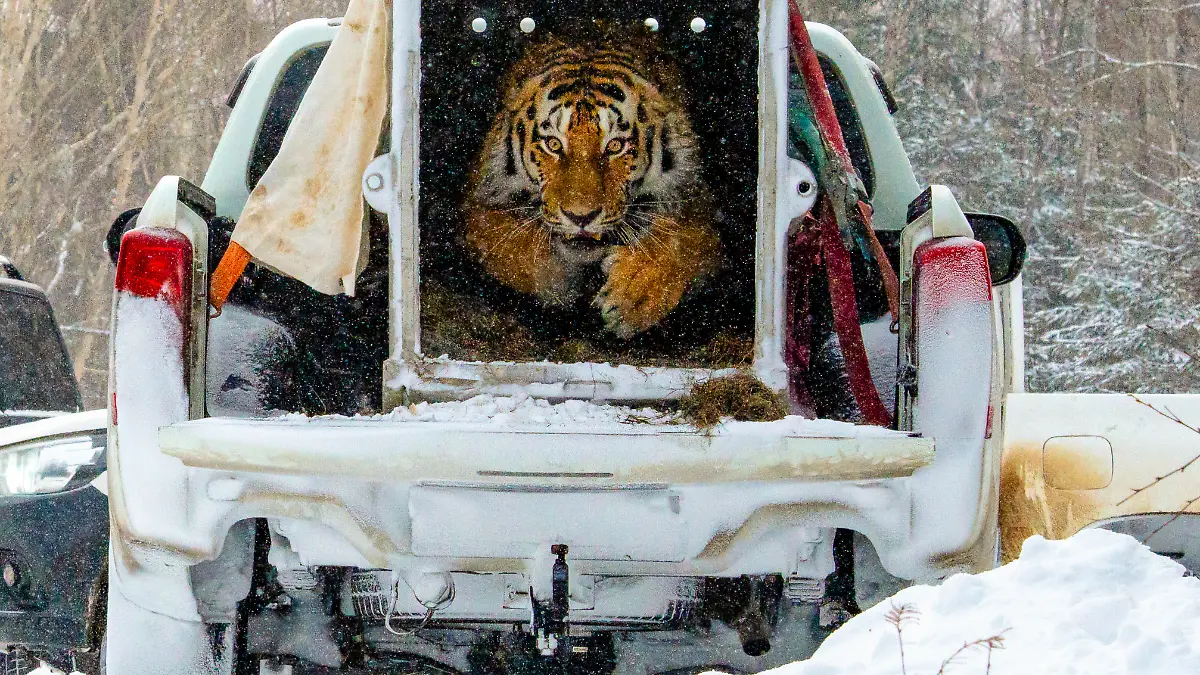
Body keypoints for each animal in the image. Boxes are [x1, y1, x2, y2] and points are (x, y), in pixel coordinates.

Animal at [462, 27, 721, 339]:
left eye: (615, 146)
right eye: (553, 144)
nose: (581, 217)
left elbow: (688, 240)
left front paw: (633, 295)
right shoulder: (477, 200)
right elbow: (502, 242)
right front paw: (556, 282)